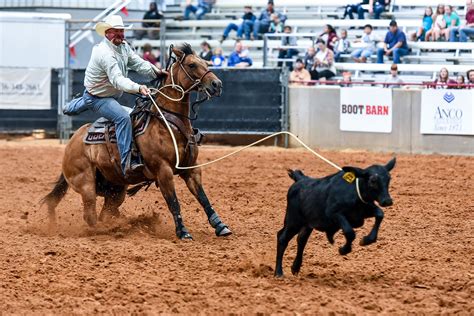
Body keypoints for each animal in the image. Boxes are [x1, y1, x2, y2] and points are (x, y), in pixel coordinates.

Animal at [42, 44, 231, 239]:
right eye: (192, 65)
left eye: (205, 62)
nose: (217, 84)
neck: (168, 122)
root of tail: (72, 143)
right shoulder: (163, 171)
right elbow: (173, 202)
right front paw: (183, 232)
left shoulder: (191, 169)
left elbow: (203, 198)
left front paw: (220, 225)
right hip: (86, 184)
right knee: (90, 216)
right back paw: (110, 229)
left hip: (116, 190)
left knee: (105, 212)